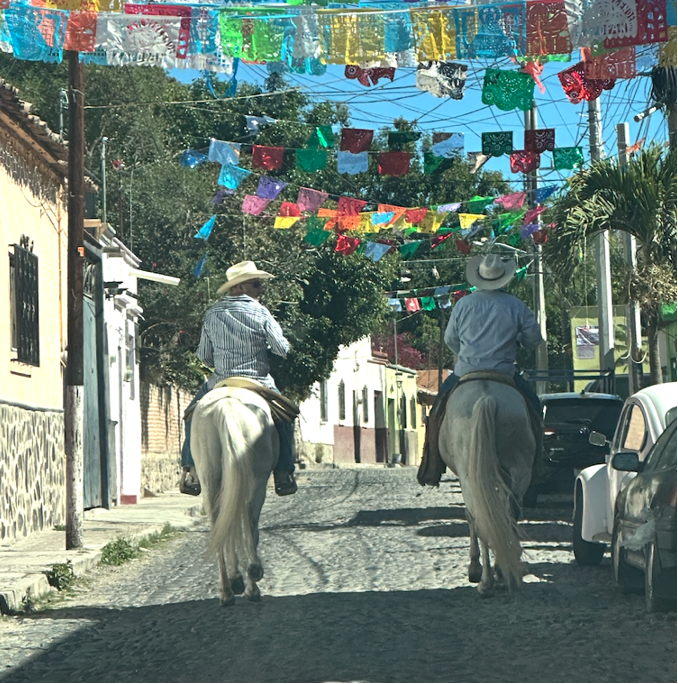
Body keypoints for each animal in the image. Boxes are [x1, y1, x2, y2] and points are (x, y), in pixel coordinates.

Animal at [190, 388, 278, 608]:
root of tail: (225, 404)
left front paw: (235, 577)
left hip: (210, 476)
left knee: (217, 524)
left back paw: (226, 591)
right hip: (257, 478)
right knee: (250, 520)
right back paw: (253, 577)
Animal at [440, 380, 536, 592]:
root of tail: (486, 397)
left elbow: (471, 516)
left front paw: (474, 567)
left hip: (470, 476)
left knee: (481, 517)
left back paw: (486, 579)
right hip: (520, 470)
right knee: (510, 512)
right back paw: (504, 569)